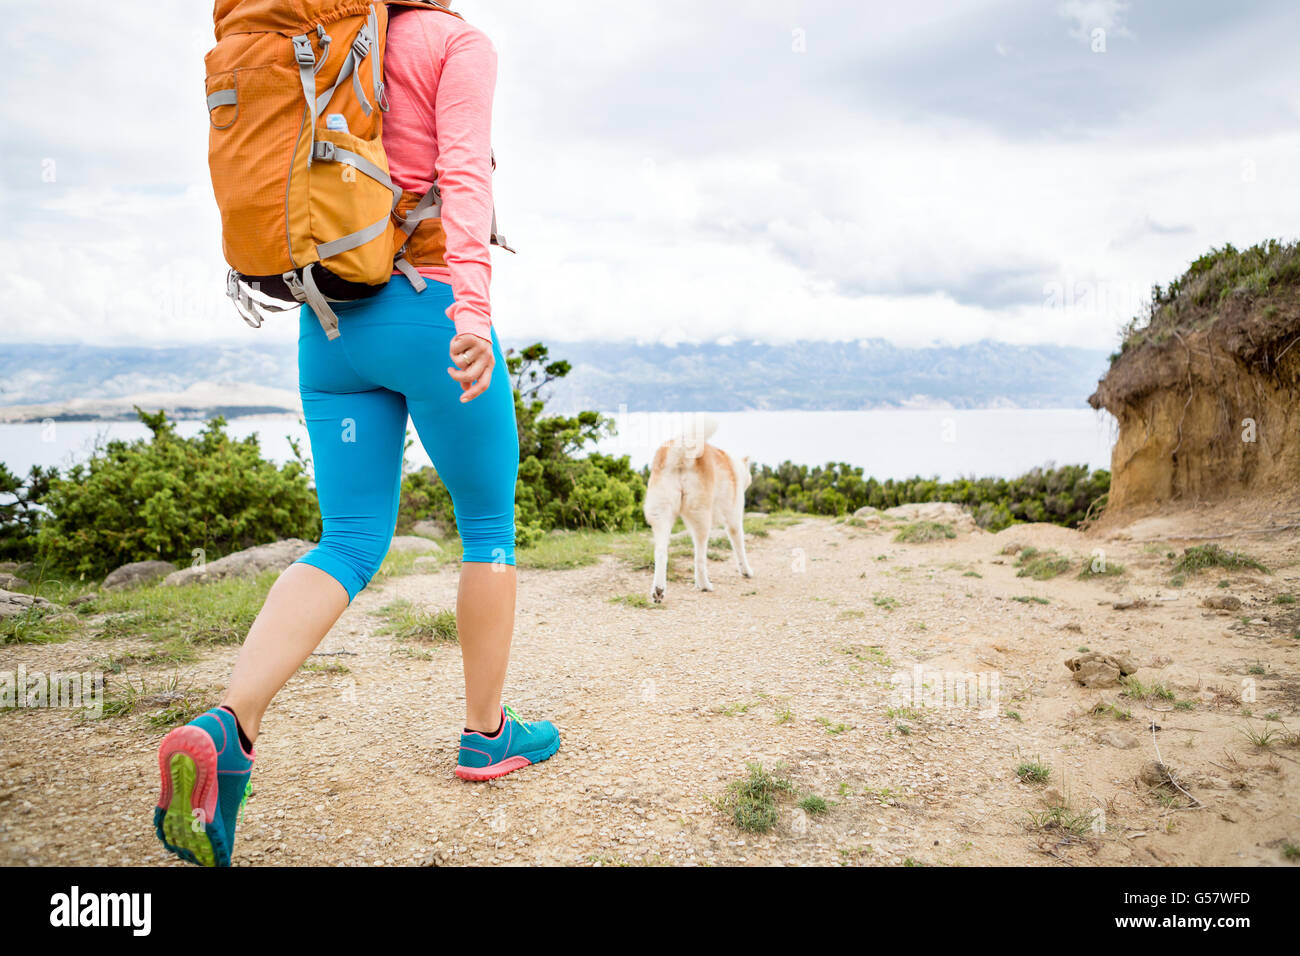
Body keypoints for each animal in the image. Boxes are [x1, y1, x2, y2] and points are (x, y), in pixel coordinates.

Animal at [642, 416, 754, 600]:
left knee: (660, 552)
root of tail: (680, 451)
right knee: (699, 558)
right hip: (701, 519)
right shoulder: (734, 521)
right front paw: (746, 571)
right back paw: (704, 585)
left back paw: (658, 590)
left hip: (661, 516)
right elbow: (740, 549)